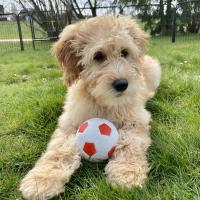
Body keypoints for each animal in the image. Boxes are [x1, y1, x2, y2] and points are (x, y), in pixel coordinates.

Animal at [19, 16, 161, 200]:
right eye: (98, 56)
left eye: (125, 52)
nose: (122, 84)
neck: (103, 102)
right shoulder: (70, 123)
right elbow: (60, 150)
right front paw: (42, 180)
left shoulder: (136, 120)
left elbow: (130, 144)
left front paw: (126, 173)